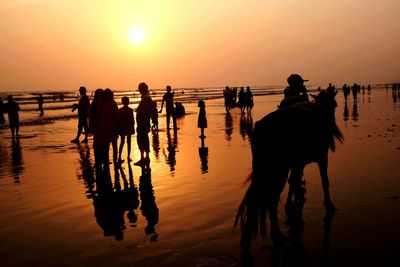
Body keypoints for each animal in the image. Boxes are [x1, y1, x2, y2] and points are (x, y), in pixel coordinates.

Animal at [234, 89, 344, 249]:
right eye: (334, 105)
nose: (333, 125)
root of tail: (260, 128)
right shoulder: (322, 157)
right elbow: (324, 181)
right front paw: (328, 204)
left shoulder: (298, 163)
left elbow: (294, 181)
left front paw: (293, 202)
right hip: (278, 170)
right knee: (272, 198)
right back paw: (276, 234)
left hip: (263, 169)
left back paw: (248, 237)